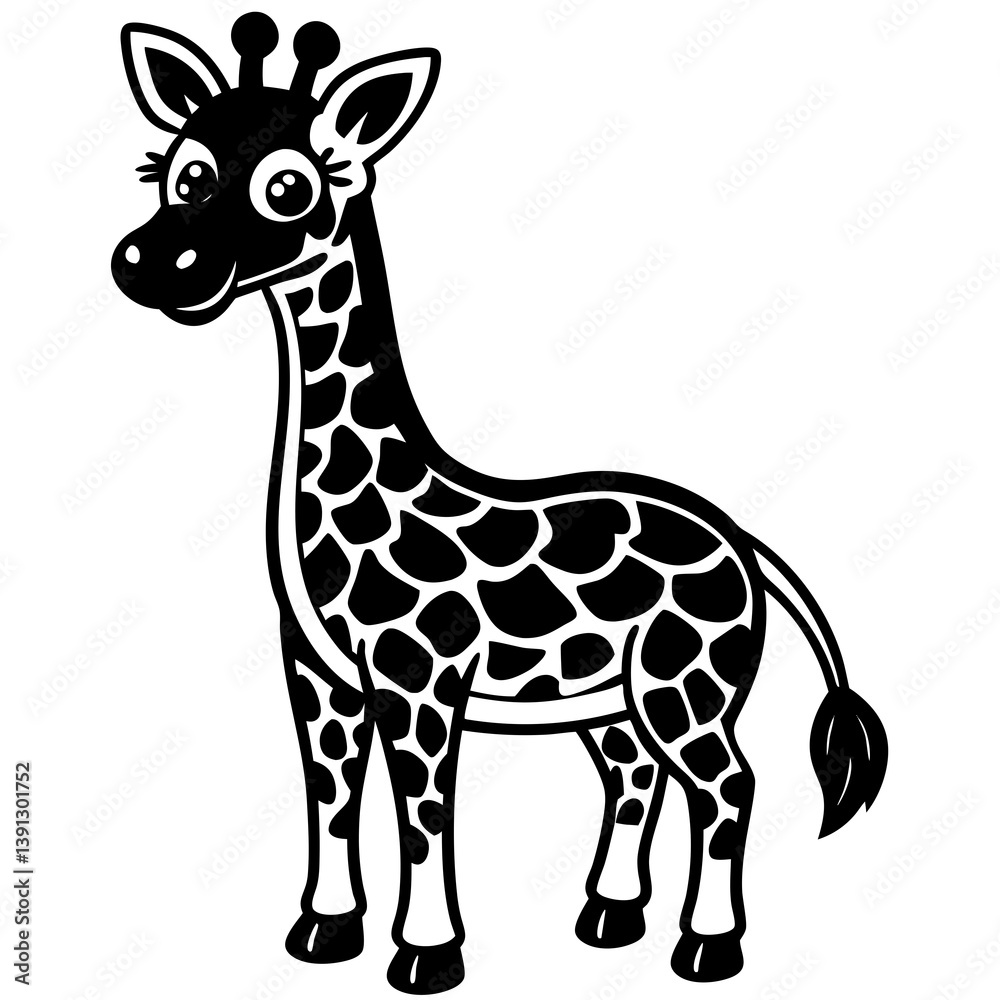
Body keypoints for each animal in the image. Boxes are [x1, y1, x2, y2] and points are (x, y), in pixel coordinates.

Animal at [111, 14, 889, 994]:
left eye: (287, 186)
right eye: (178, 172)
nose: (147, 263)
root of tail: (742, 541)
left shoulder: (419, 674)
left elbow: (422, 814)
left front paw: (425, 955)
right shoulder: (319, 672)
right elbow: (330, 798)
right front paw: (324, 934)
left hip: (685, 683)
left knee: (726, 785)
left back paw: (705, 948)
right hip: (611, 700)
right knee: (636, 779)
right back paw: (608, 920)